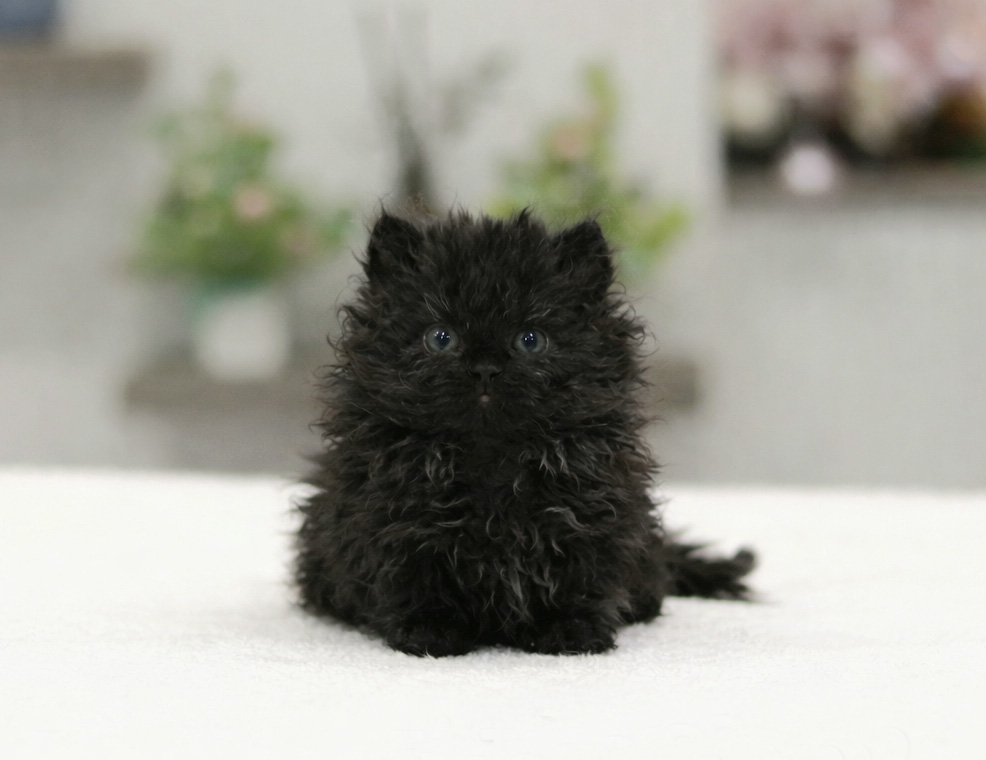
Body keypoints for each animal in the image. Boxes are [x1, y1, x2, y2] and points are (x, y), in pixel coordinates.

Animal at [295, 210, 755, 656]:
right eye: (441, 337)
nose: (484, 368)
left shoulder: (592, 510)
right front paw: (430, 631)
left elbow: (580, 576)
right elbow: (413, 575)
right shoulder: (395, 516)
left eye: (530, 340)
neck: (489, 456)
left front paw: (570, 631)